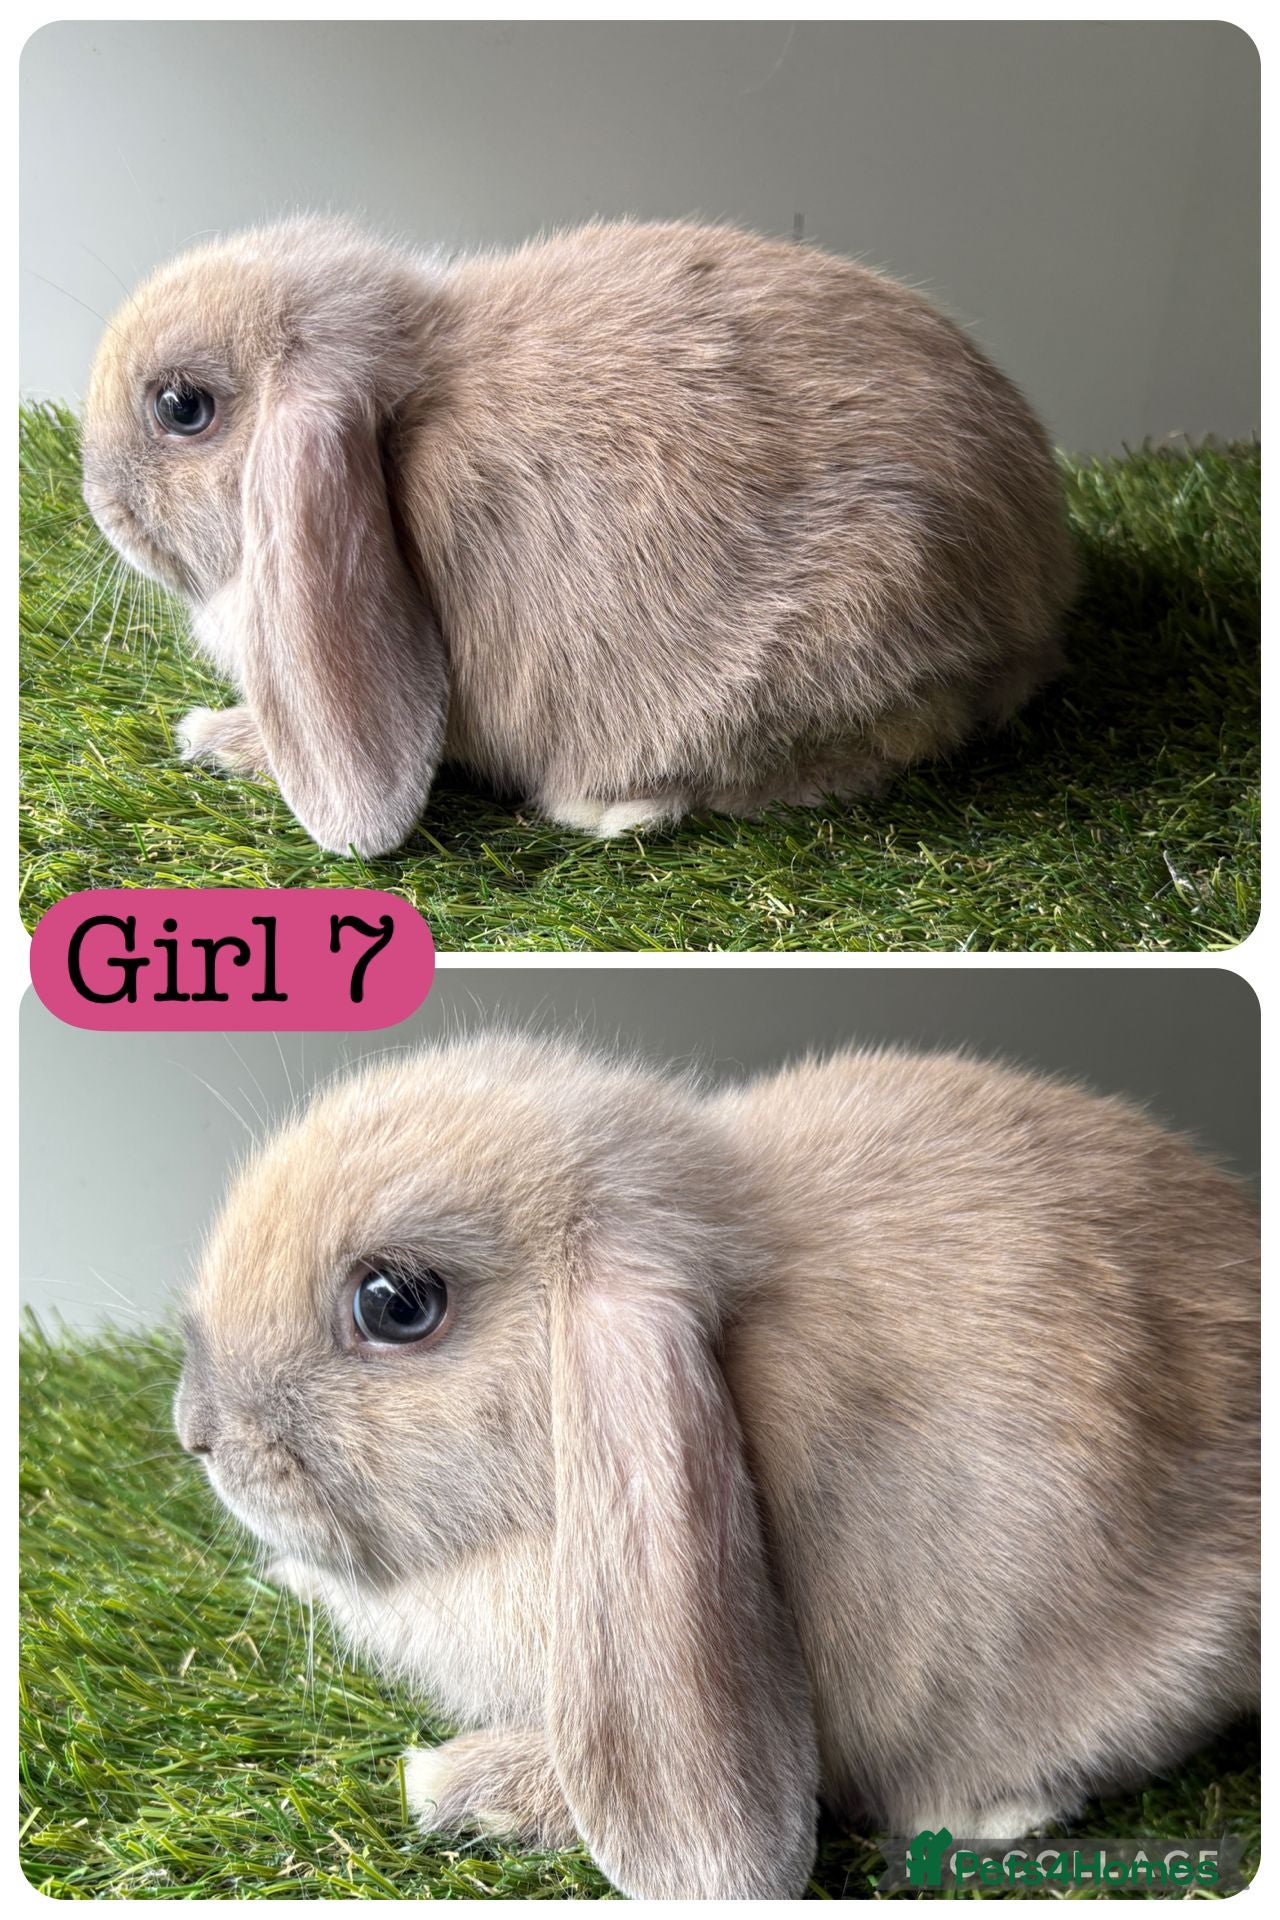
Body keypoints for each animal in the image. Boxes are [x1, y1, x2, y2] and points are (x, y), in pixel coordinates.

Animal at [82, 216, 1077, 856]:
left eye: (182, 407)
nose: (99, 502)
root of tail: (1034, 608)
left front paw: (214, 738)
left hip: (847, 625)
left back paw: (605, 809)